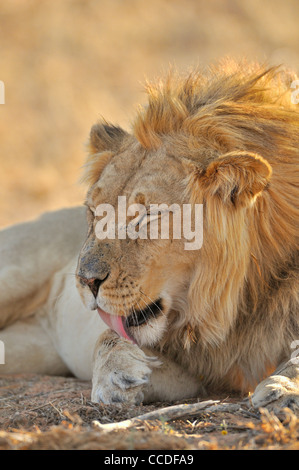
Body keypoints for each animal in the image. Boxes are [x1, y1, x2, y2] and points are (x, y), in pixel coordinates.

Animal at [0, 59, 299, 412]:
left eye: (148, 216)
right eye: (93, 211)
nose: (85, 281)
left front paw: (284, 389)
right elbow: (109, 335)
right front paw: (115, 376)